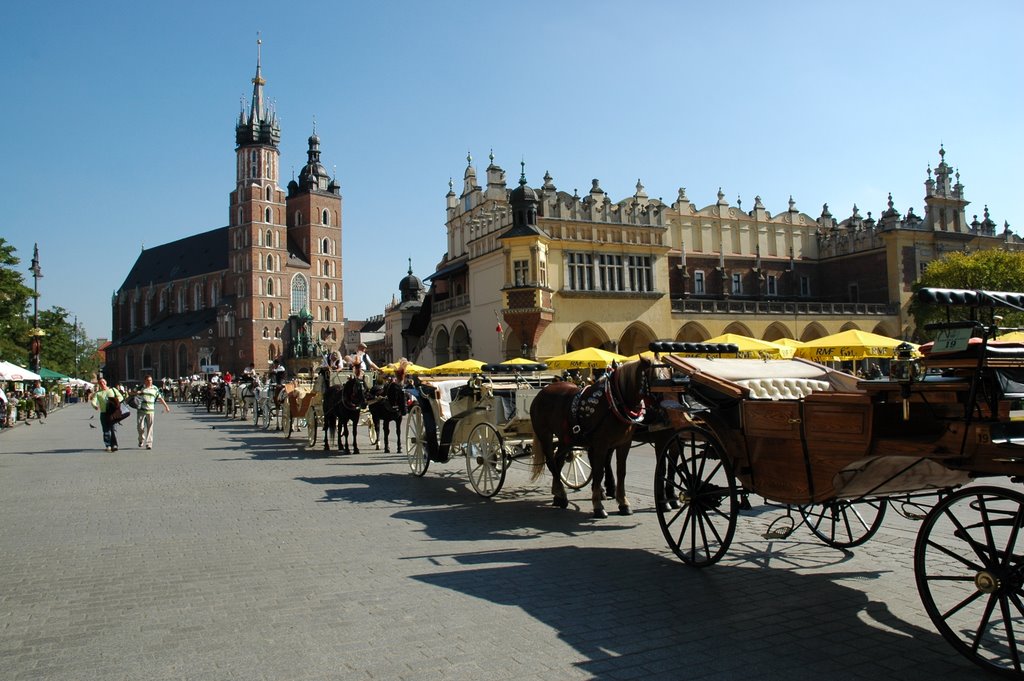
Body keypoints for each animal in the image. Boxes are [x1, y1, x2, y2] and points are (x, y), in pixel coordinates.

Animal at [532, 358, 651, 518]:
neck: (614, 400)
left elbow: (621, 472)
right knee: (551, 462)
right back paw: (562, 497)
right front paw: (598, 506)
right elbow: (598, 471)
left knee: (558, 461)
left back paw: (557, 495)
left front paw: (623, 503)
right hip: (544, 434)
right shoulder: (600, 444)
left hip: (566, 438)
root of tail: (542, 392)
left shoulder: (623, 443)